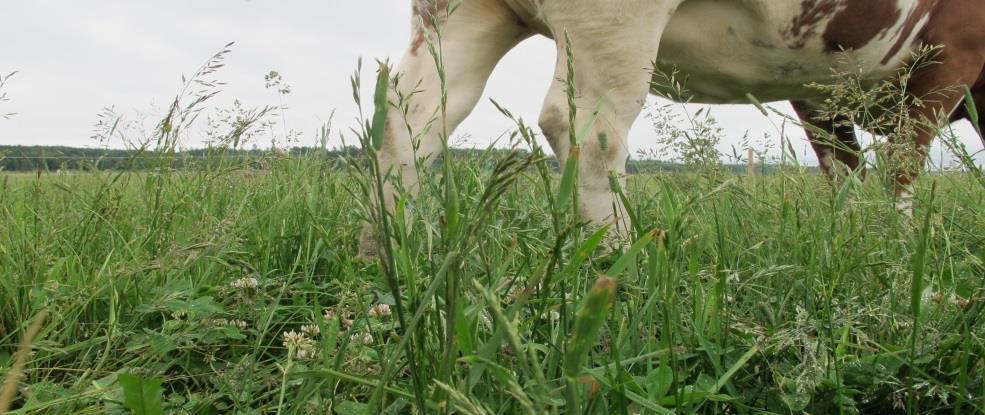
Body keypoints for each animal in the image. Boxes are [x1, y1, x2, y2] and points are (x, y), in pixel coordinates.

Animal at [362, 0, 984, 252]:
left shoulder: (816, 81)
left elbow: (844, 171)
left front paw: (851, 238)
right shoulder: (954, 53)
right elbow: (902, 166)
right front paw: (899, 245)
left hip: (457, 15)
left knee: (409, 116)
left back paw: (388, 251)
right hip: (615, 17)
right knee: (588, 125)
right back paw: (616, 263)